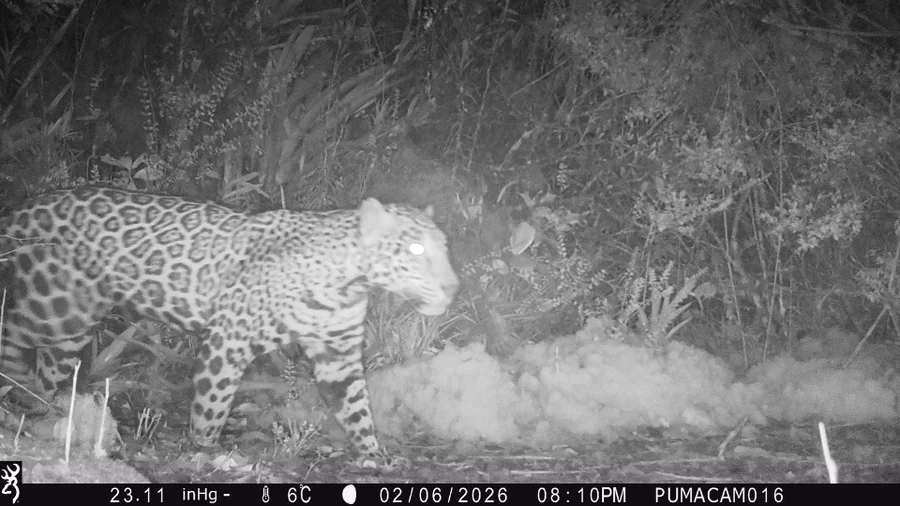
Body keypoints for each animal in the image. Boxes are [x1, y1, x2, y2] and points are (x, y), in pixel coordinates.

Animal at [0, 186, 459, 464]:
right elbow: (213, 403)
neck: (347, 282)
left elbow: (357, 406)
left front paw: (374, 454)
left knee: (47, 369)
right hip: (50, 306)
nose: (453, 286)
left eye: (443, 247)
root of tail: (26, 204)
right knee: (11, 334)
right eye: (415, 250)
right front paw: (205, 449)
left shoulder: (339, 353)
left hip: (71, 326)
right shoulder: (228, 339)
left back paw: (39, 408)